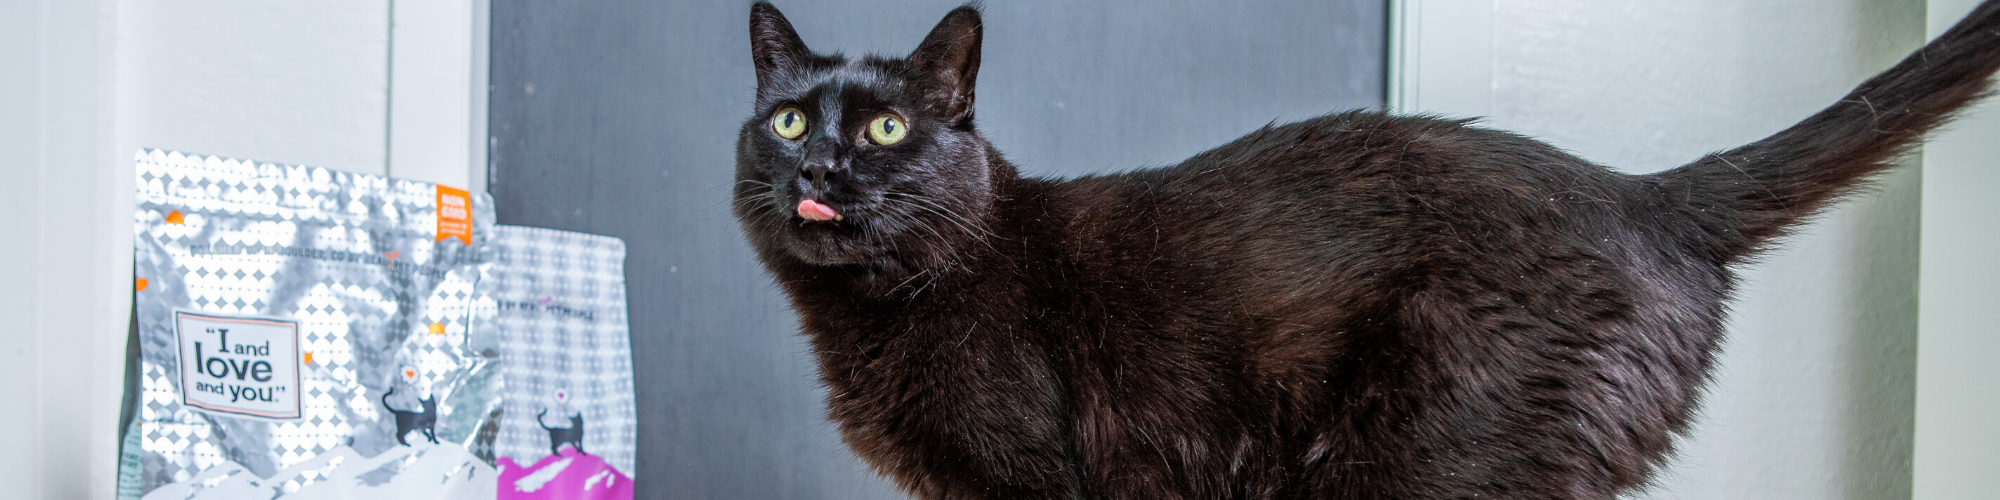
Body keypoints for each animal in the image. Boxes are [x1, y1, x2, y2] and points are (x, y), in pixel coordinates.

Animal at [732, 1, 2000, 498]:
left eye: (886, 128)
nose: (821, 170)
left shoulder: (1037, 475)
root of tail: (1640, 194)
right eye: (788, 120)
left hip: (1424, 451)